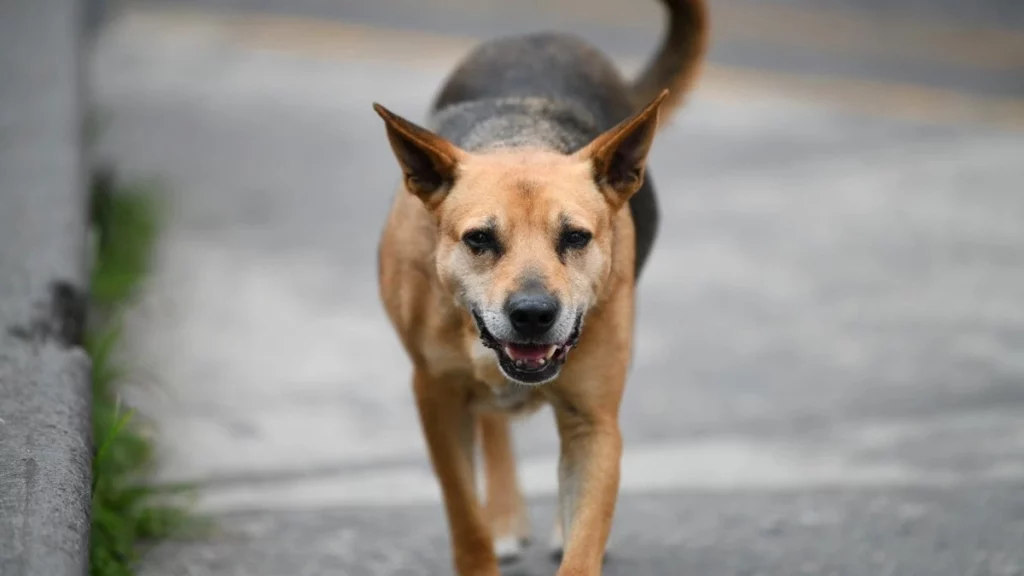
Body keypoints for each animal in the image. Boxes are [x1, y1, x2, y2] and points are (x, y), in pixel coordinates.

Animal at [372, 2, 708, 569]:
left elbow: (584, 540)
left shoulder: (594, 420)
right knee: (491, 422)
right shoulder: (435, 397)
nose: (533, 314)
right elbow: (465, 517)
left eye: (575, 236)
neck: (520, 135)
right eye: (479, 239)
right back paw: (505, 519)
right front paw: (486, 537)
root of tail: (538, 34)